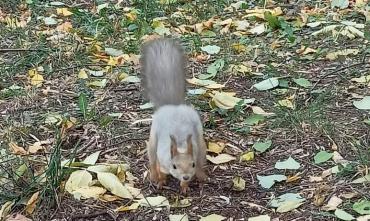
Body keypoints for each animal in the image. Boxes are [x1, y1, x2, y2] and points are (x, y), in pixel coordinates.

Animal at [139, 36, 207, 193]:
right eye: (175, 166)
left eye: (192, 164)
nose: (186, 176)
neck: (181, 144)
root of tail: (172, 106)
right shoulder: (163, 159)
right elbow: (161, 171)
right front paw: (161, 181)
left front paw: (184, 186)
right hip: (153, 140)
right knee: (152, 160)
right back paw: (153, 175)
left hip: (201, 142)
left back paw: (202, 176)